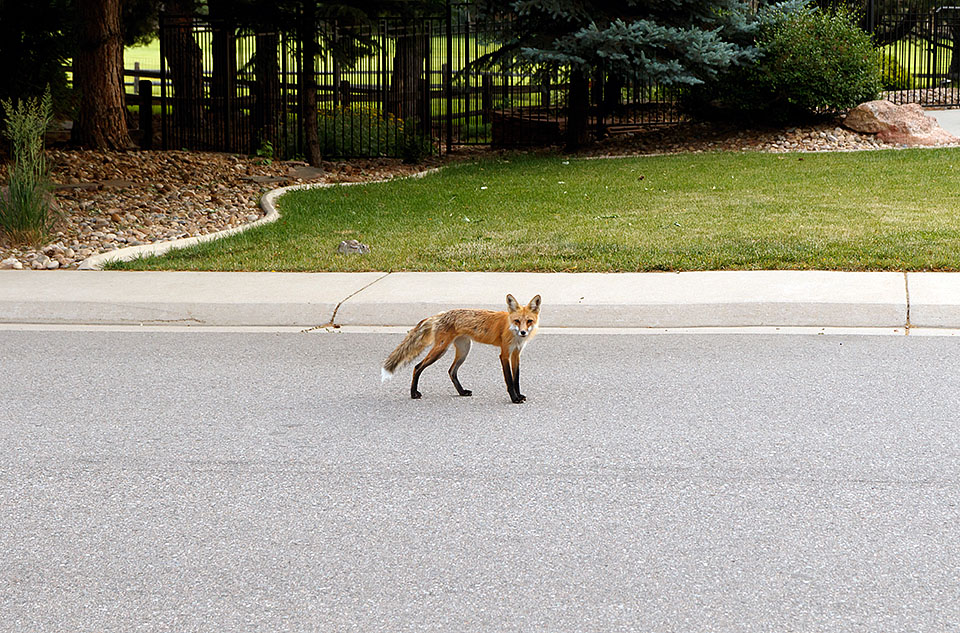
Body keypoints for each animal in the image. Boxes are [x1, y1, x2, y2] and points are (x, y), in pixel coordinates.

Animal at [380, 294, 540, 402]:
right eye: (517, 321)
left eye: (529, 321)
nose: (523, 332)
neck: (512, 331)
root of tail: (440, 314)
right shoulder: (505, 354)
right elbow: (509, 380)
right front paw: (514, 398)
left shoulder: (516, 354)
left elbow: (516, 379)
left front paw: (519, 395)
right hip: (441, 349)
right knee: (417, 367)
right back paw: (414, 393)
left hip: (464, 350)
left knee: (451, 371)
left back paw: (462, 392)